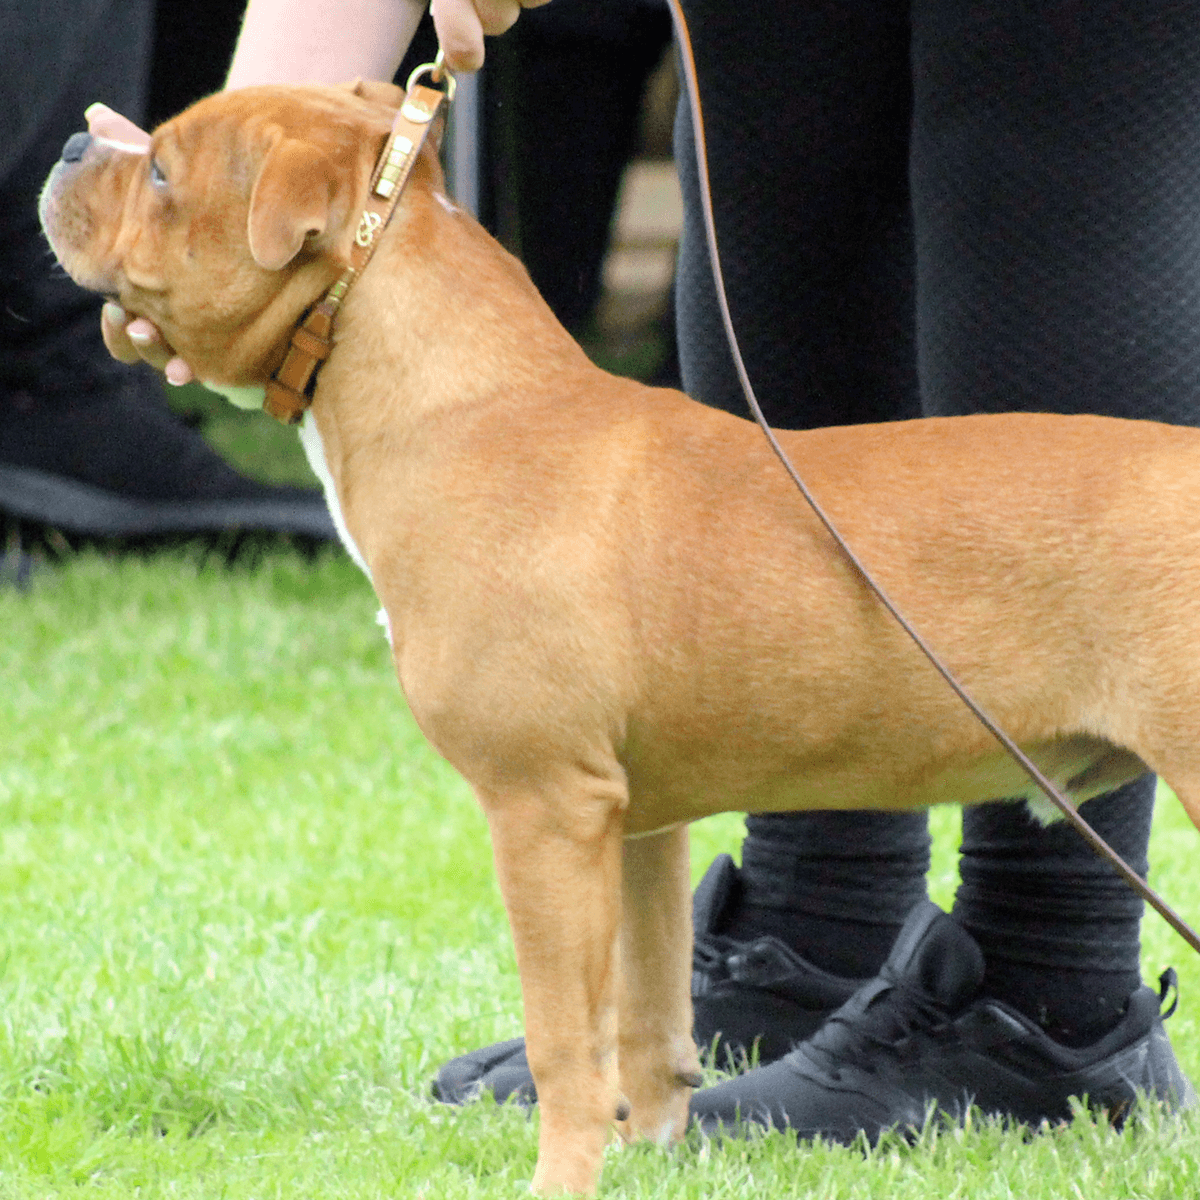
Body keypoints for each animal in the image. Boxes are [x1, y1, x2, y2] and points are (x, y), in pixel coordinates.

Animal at [42, 82, 1200, 1190]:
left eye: (160, 171)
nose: (72, 144)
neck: (459, 400)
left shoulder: (545, 811)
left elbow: (568, 1041)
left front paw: (560, 1179)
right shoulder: (639, 823)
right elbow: (647, 1024)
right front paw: (647, 1155)